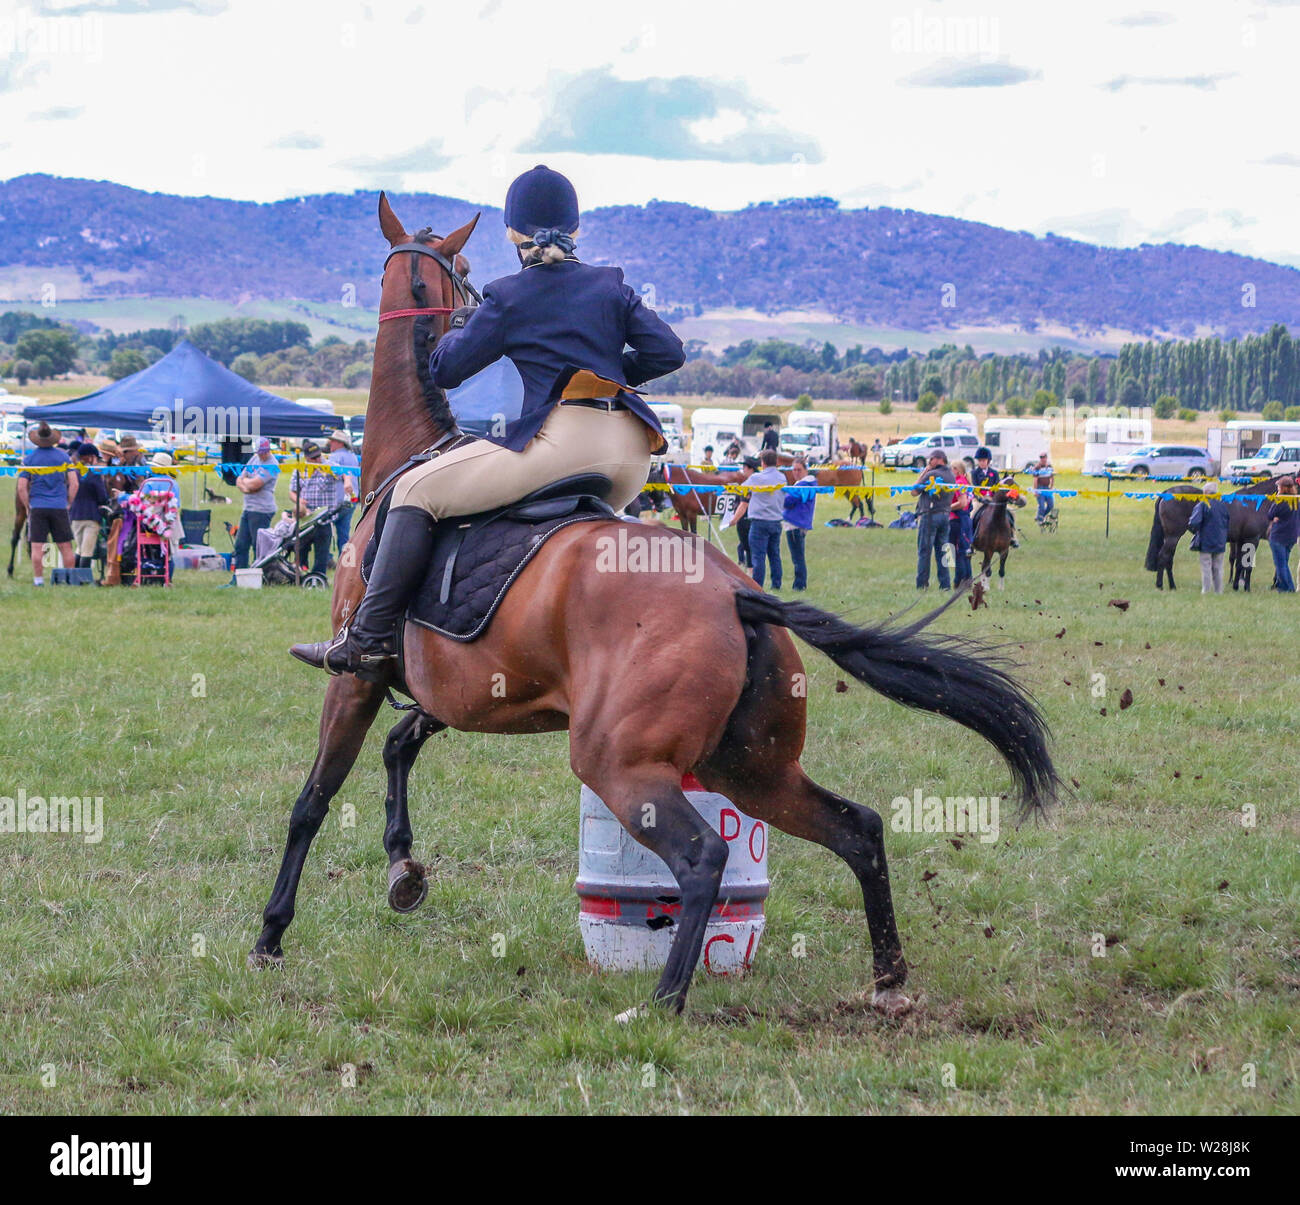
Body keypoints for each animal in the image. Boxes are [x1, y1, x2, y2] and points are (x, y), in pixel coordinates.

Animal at [248, 194, 1060, 1019]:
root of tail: (740, 593)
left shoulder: (359, 677)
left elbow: (314, 797)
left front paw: (272, 932)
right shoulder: (461, 690)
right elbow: (398, 746)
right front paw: (402, 869)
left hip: (622, 762)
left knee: (704, 855)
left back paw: (664, 998)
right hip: (751, 765)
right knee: (856, 828)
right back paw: (887, 976)